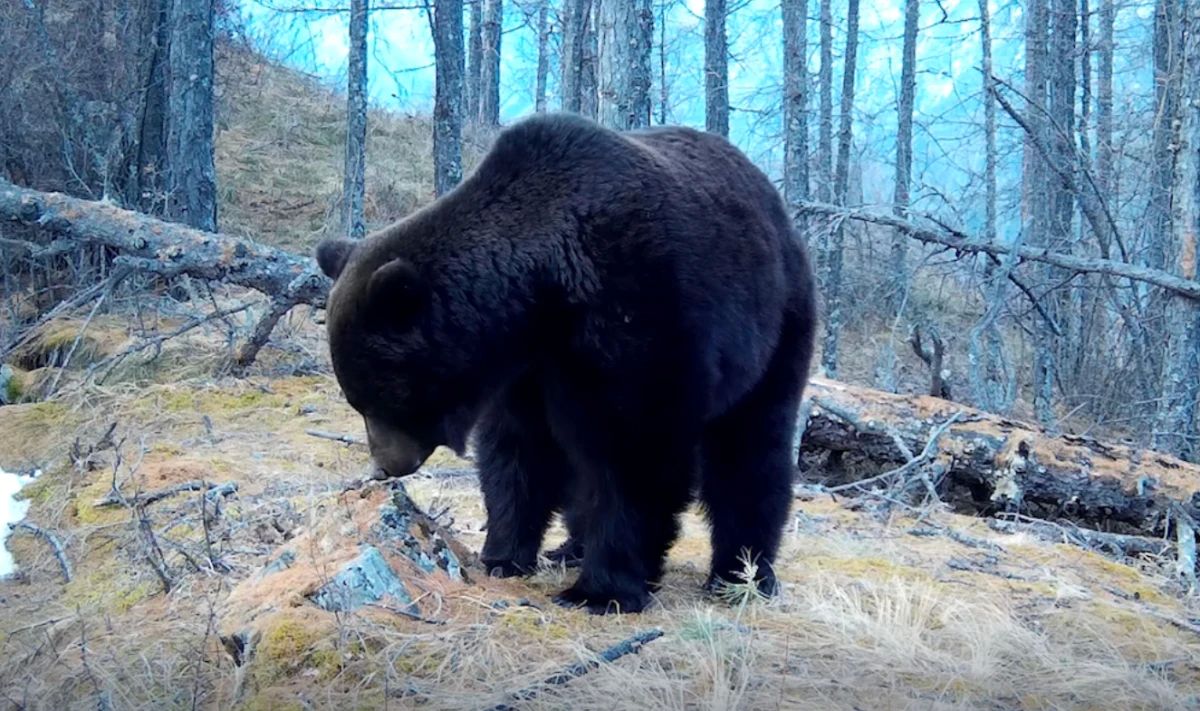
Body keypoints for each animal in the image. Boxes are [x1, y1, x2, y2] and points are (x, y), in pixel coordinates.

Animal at [314, 112, 817, 614]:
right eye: (357, 399)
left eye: (385, 395)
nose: (384, 467)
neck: (543, 296)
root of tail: (774, 202)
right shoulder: (527, 372)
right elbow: (518, 453)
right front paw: (502, 555)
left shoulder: (637, 315)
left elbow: (635, 454)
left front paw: (602, 589)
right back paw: (571, 547)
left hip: (773, 327)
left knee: (750, 453)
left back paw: (741, 574)